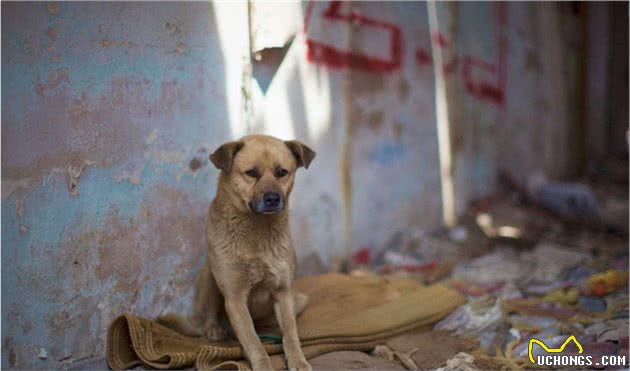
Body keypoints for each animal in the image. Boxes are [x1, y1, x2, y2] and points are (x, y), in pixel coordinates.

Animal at [158, 134, 316, 371]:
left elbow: (290, 333)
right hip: (210, 277)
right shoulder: (235, 298)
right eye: (251, 173)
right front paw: (263, 365)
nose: (273, 198)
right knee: (210, 317)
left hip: (300, 300)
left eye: (282, 172)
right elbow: (253, 341)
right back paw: (215, 329)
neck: (257, 231)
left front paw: (298, 360)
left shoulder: (283, 292)